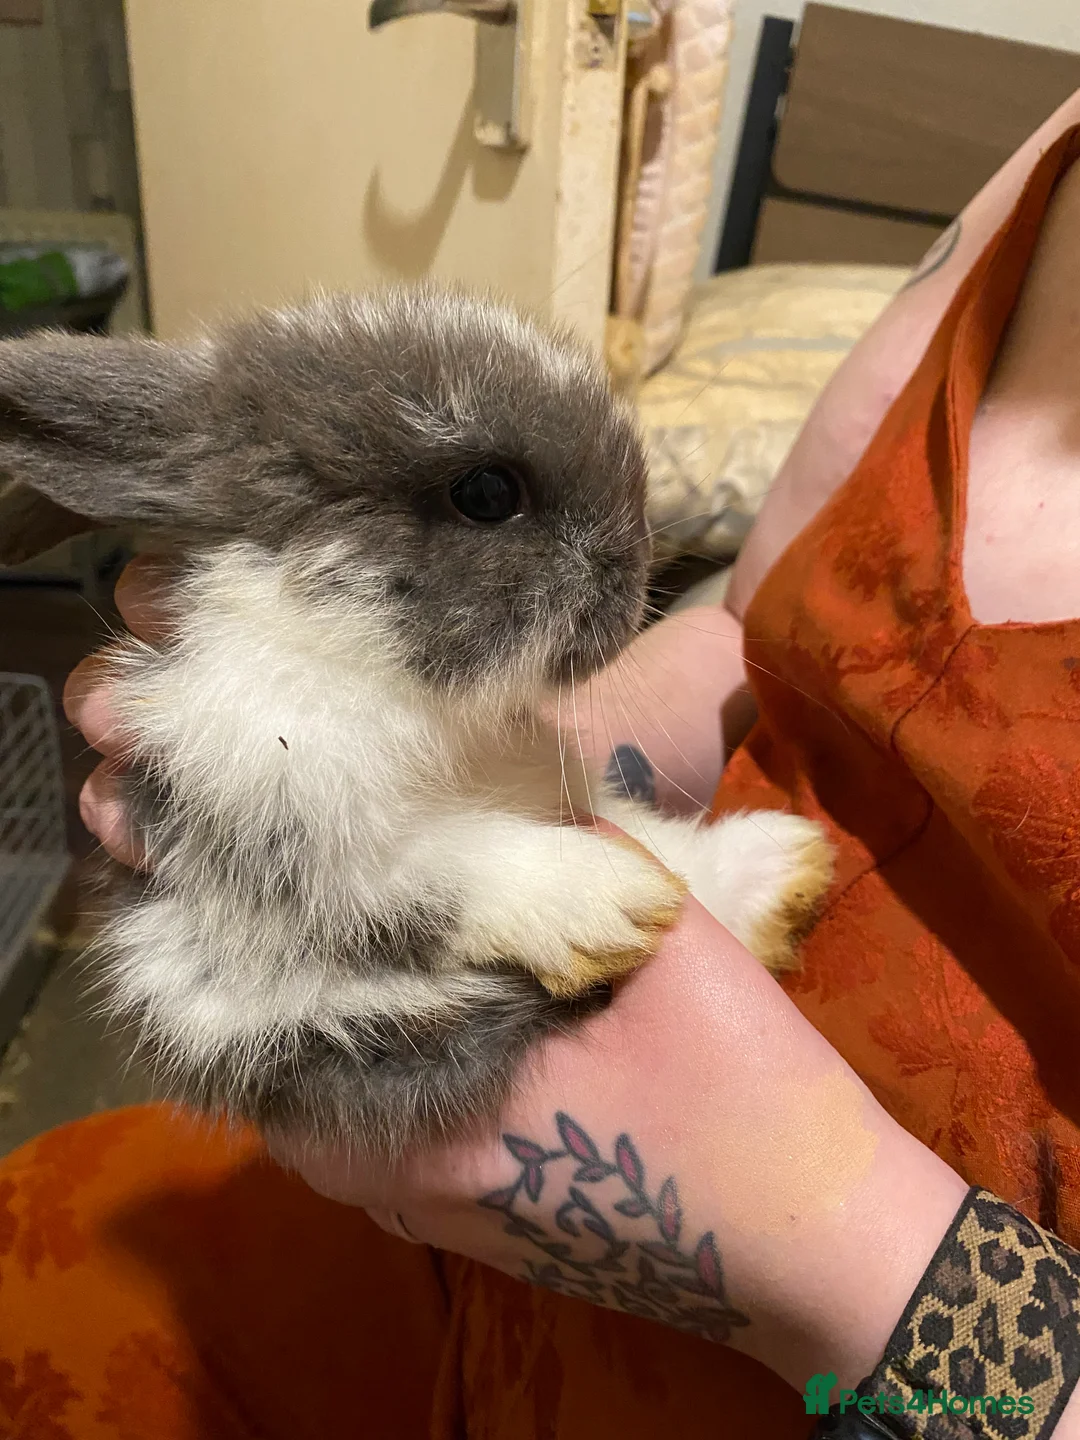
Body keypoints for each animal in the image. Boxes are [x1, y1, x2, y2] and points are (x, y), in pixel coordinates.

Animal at [0, 288, 833, 1158]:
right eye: (488, 494)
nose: (636, 576)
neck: (376, 672)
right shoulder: (290, 838)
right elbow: (436, 873)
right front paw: (609, 902)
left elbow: (631, 826)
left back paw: (779, 869)